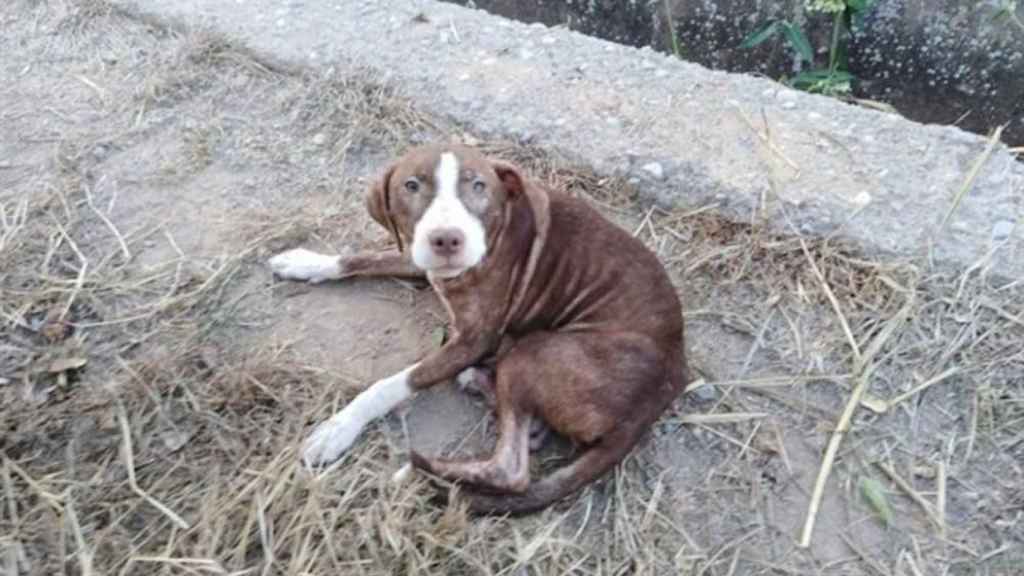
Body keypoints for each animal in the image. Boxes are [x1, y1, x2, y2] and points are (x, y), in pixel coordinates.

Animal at [270, 143, 688, 510]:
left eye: (478, 186)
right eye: (412, 185)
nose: (446, 239)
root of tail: (662, 391)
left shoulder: (474, 339)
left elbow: (393, 383)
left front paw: (338, 428)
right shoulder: (417, 256)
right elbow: (361, 258)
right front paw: (308, 262)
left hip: (534, 352)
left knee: (511, 471)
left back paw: (423, 474)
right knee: (525, 435)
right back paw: (485, 391)